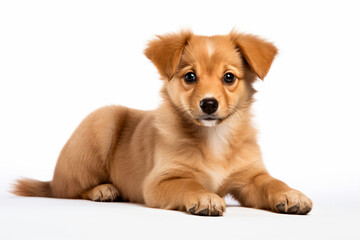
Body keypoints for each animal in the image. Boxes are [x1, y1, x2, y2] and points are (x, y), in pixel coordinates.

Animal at [13, 30, 312, 216]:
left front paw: (291, 194)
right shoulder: (161, 181)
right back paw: (103, 190)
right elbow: (189, 184)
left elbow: (272, 182)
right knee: (69, 190)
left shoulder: (251, 177)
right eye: (190, 77)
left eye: (229, 77)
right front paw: (204, 197)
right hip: (103, 121)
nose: (209, 104)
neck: (214, 136)